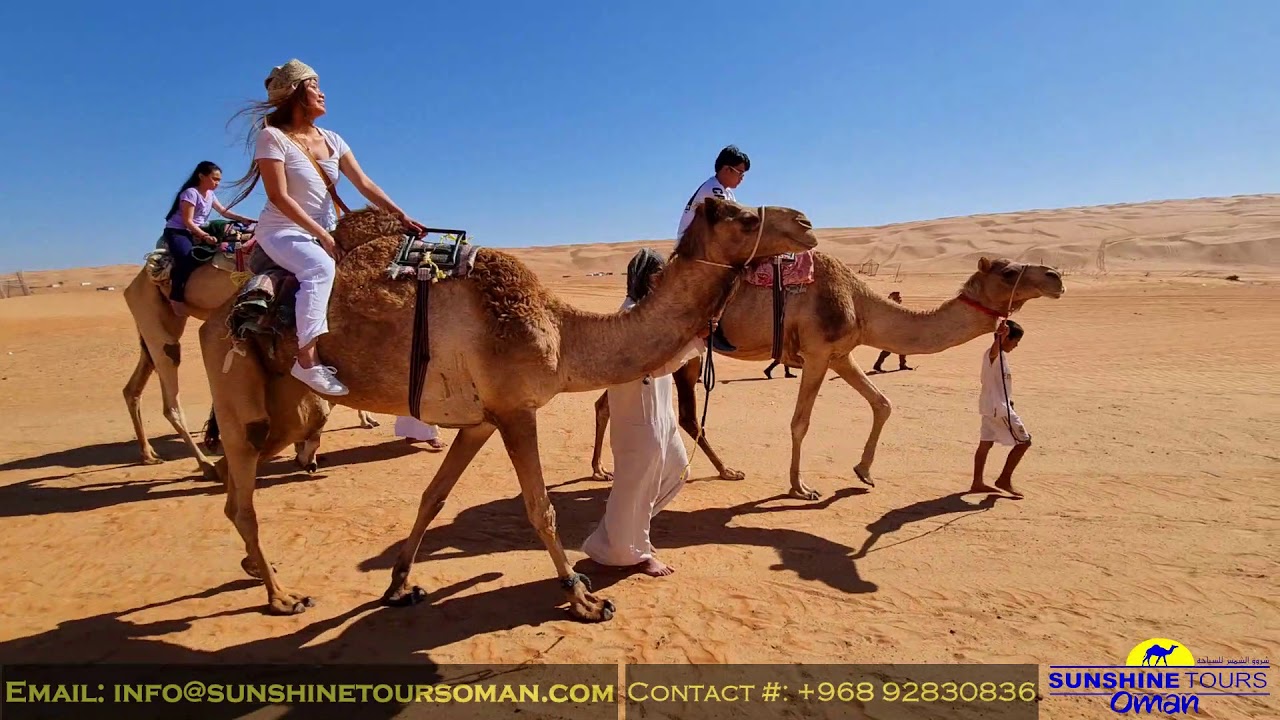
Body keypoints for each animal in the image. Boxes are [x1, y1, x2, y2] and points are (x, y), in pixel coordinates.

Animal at [122, 233, 378, 480]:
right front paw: (306, 453)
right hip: (155, 317)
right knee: (170, 397)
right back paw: (205, 465)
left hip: (153, 324)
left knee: (133, 388)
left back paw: (149, 454)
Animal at [197, 196, 818, 620]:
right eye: (740, 215)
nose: (807, 224)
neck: (563, 334)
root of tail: (223, 311)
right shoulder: (518, 410)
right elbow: (540, 508)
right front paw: (583, 598)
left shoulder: (480, 420)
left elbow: (433, 497)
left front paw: (399, 585)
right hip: (240, 384)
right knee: (243, 492)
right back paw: (281, 595)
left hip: (285, 404)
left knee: (239, 471)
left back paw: (254, 565)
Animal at [589, 253, 1064, 499]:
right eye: (1008, 271)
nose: (1056, 276)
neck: (860, 299)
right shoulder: (817, 353)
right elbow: (801, 421)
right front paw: (800, 487)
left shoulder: (840, 354)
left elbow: (882, 403)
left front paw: (864, 472)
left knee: (651, 409)